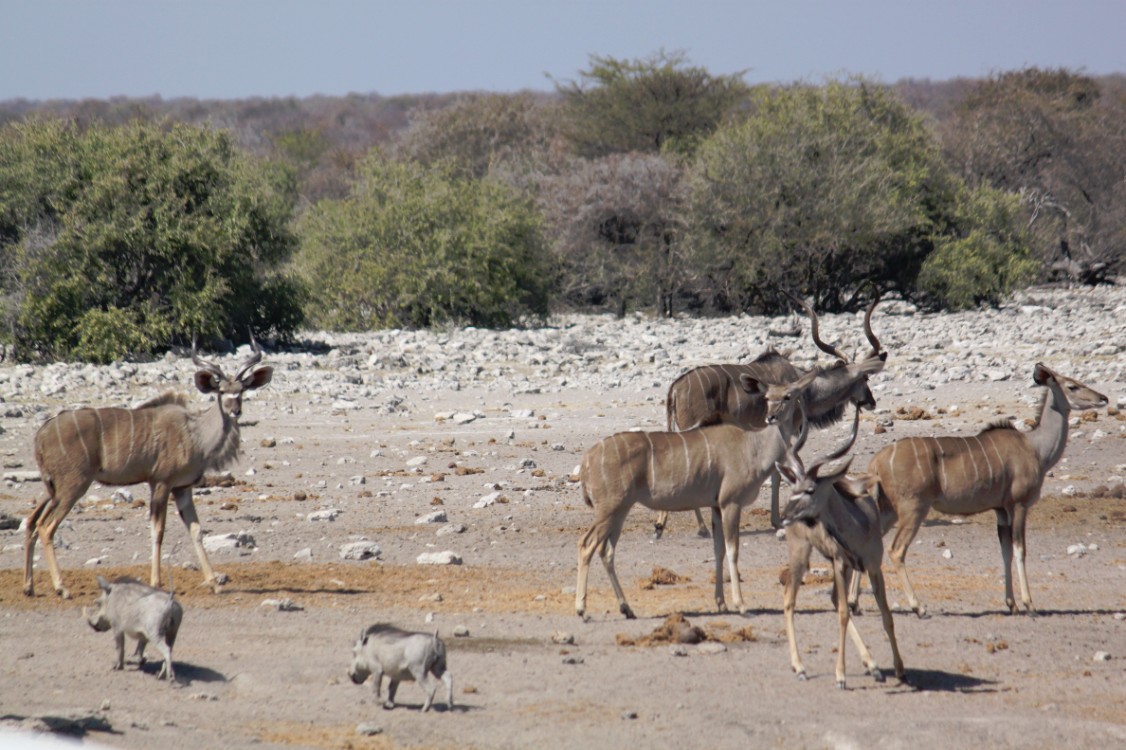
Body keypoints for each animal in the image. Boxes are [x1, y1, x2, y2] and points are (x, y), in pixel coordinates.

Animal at [22, 337, 272, 594]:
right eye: (221, 391)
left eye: (241, 391)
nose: (235, 411)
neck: (195, 434)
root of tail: (41, 434)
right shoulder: (161, 483)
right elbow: (158, 531)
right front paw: (156, 582)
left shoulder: (182, 488)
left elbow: (196, 530)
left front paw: (214, 583)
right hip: (73, 486)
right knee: (46, 526)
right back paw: (61, 588)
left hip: (53, 489)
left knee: (32, 522)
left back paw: (29, 587)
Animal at [576, 367, 815, 617]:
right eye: (767, 397)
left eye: (788, 396)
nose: (771, 417)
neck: (753, 446)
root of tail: (587, 460)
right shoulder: (730, 503)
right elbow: (733, 550)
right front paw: (741, 605)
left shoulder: (716, 506)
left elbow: (719, 550)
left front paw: (721, 603)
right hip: (609, 509)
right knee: (585, 544)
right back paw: (582, 609)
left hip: (619, 510)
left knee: (606, 551)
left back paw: (627, 608)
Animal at [653, 292, 887, 538]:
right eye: (865, 378)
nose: (871, 402)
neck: (805, 386)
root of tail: (675, 387)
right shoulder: (785, 429)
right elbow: (778, 471)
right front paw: (777, 520)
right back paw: (700, 527)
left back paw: (662, 524)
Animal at [774, 405, 905, 684]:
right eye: (795, 488)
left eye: (810, 489)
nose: (786, 515)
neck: (859, 523)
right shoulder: (839, 561)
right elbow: (844, 612)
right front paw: (841, 675)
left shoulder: (871, 567)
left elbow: (885, 614)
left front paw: (899, 669)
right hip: (802, 552)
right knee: (790, 597)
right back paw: (799, 667)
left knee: (832, 599)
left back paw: (872, 665)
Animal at [860, 360, 1107, 612]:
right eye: (1072, 386)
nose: (1103, 398)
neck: (1036, 448)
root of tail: (876, 462)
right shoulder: (1019, 505)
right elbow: (1020, 549)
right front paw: (1028, 604)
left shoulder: (1001, 510)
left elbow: (1006, 551)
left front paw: (1011, 604)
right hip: (914, 508)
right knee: (896, 550)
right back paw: (918, 607)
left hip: (889, 510)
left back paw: (855, 604)